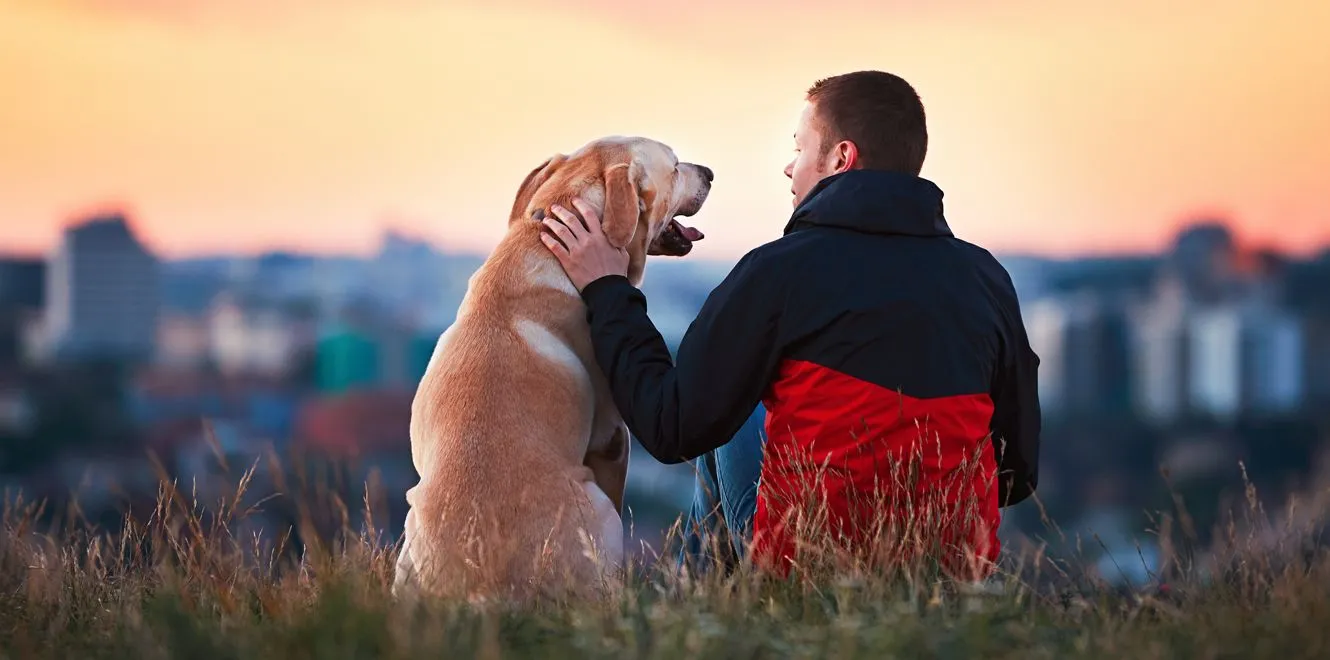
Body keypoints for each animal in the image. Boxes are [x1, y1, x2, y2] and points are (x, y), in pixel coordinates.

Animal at [388, 136, 712, 606]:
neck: (543, 244)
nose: (710, 173)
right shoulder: (613, 438)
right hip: (597, 508)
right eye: (673, 167)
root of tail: (481, 591)